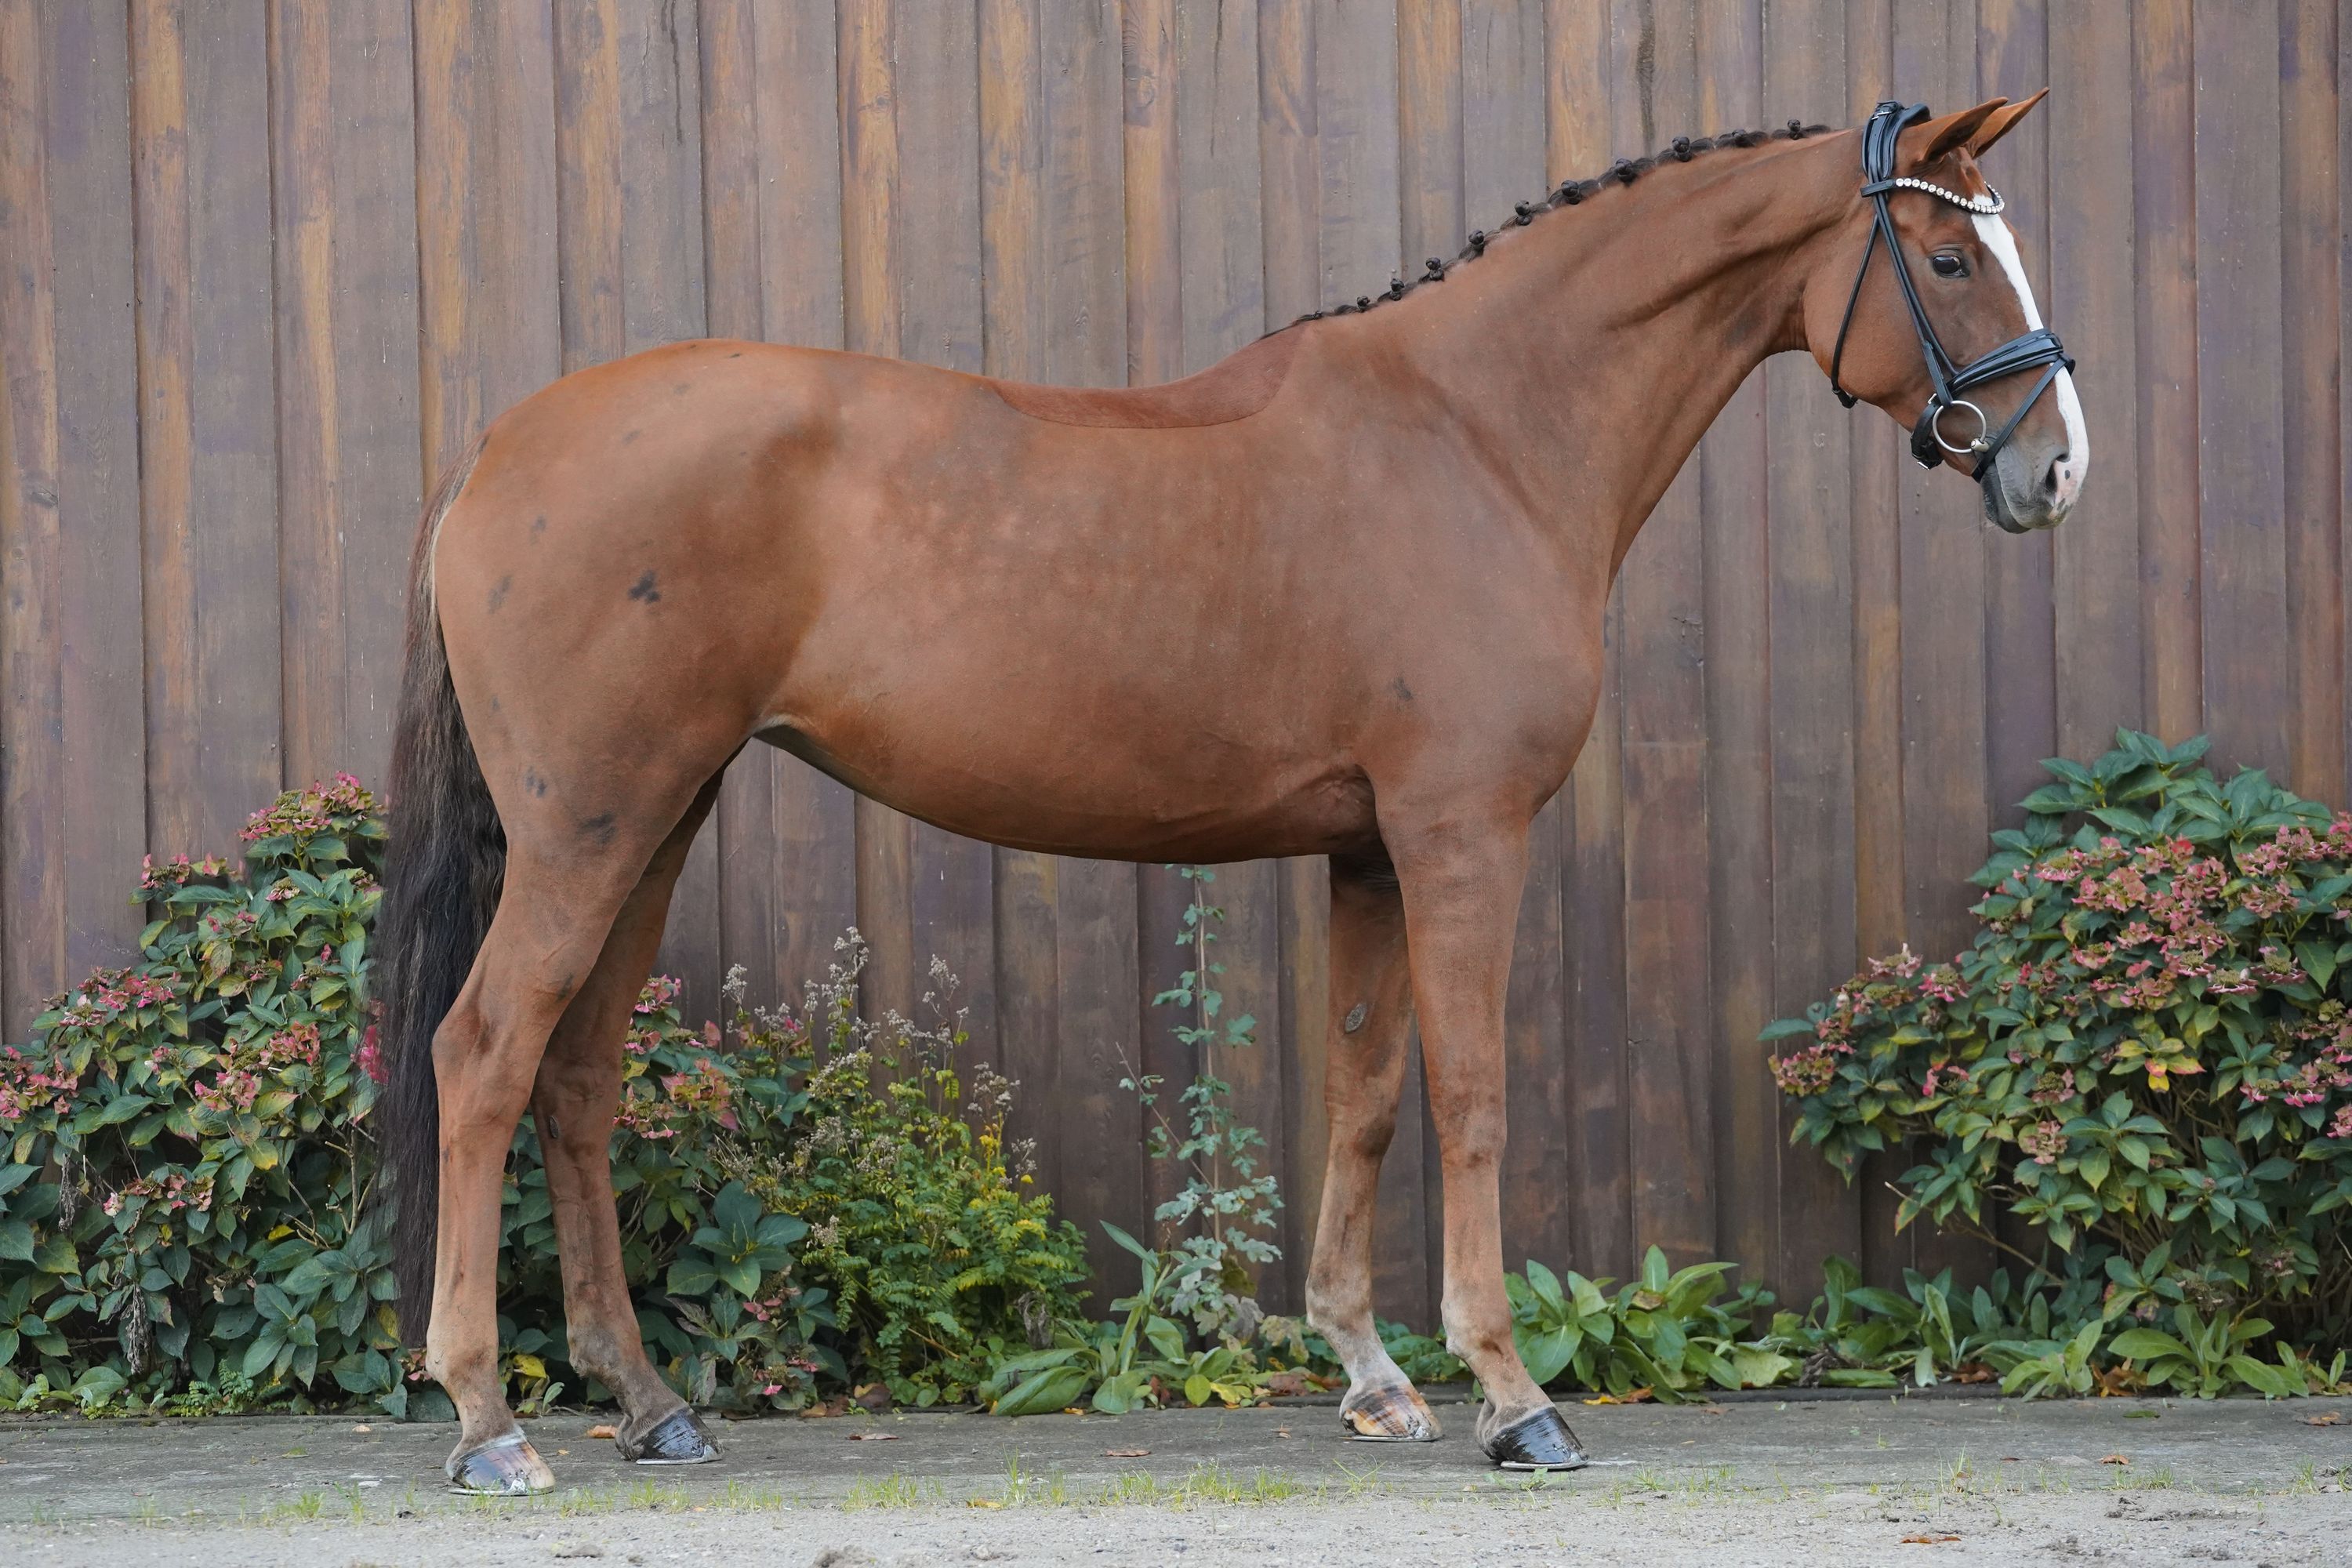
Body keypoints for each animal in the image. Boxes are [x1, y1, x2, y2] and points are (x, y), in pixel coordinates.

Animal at [376, 93, 2086, 1493]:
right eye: (1949, 260)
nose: (2054, 469)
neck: (1479, 431)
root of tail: (495, 452)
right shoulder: (1463, 835)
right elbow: (1473, 1097)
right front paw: (1515, 1398)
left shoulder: (1372, 852)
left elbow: (1372, 1096)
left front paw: (1377, 1377)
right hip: (589, 829)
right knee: (483, 1055)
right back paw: (488, 1418)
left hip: (656, 821)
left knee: (579, 1080)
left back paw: (648, 1401)